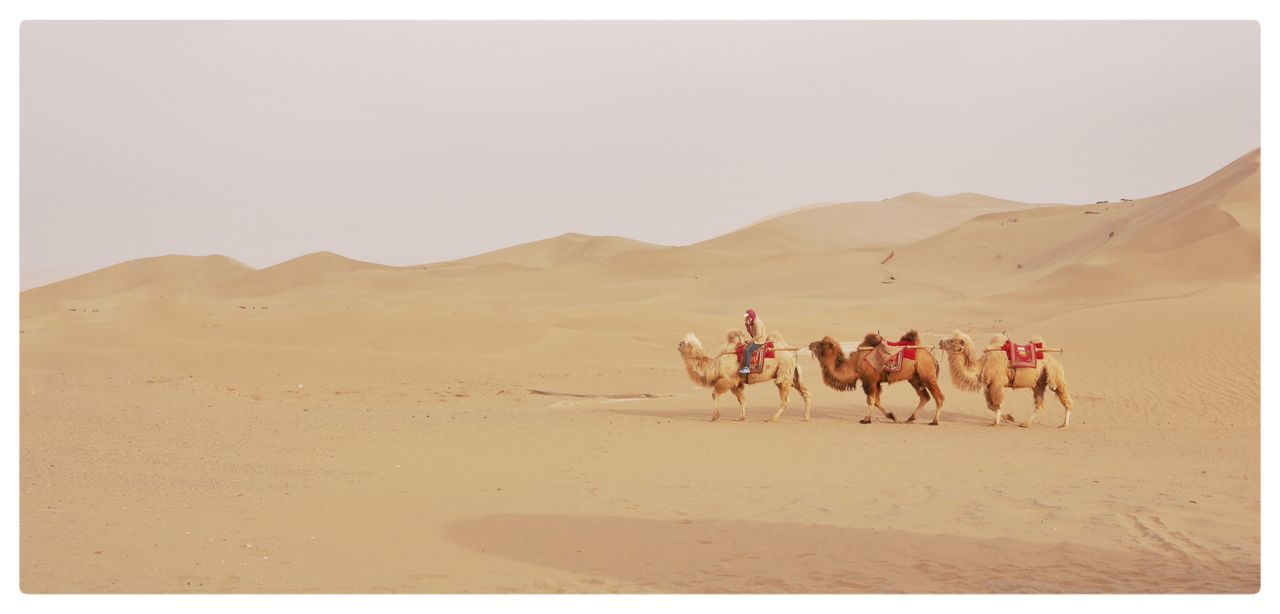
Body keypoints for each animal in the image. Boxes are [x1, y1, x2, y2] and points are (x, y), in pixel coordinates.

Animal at [680, 330, 808, 422]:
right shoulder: (737, 383)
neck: (715, 365)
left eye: (684, 342)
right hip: (793, 375)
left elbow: (714, 394)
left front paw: (715, 416)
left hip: (784, 373)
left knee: (785, 400)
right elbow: (742, 400)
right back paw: (806, 418)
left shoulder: (727, 379)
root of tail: (793, 354)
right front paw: (741, 417)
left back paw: (771, 418)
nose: (678, 344)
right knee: (806, 393)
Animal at [803, 332, 947, 424]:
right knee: (925, 397)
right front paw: (892, 416)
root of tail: (931, 355)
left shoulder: (870, 380)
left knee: (939, 397)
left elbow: (870, 400)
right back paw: (910, 419)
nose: (810, 344)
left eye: (821, 344)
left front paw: (866, 419)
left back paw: (934, 421)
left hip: (927, 375)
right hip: (914, 378)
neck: (855, 364)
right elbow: (877, 401)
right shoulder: (876, 382)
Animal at [936, 330, 1075, 427]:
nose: (940, 341)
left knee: (1065, 398)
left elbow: (998, 403)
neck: (982, 365)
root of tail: (1056, 361)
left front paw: (996, 423)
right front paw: (1008, 417)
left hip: (1055, 376)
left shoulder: (997, 383)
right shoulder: (989, 385)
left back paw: (1064, 425)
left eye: (952, 340)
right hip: (1038, 384)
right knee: (1039, 404)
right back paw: (1025, 423)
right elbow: (990, 405)